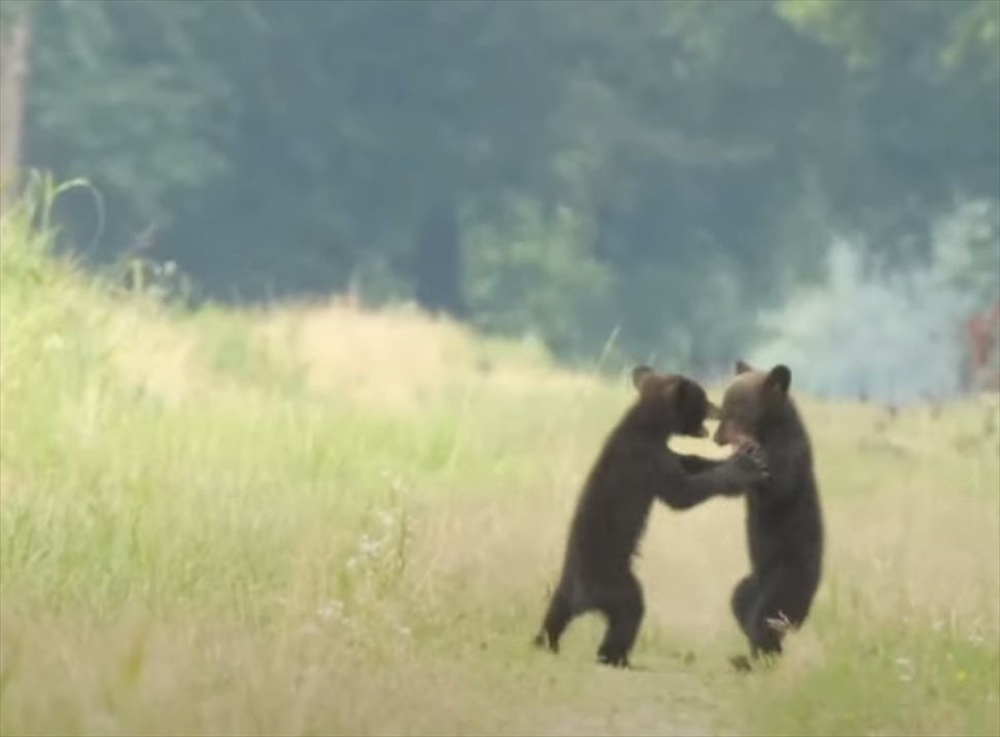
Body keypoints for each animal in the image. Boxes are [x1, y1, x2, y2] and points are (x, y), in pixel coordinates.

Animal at [536, 366, 768, 668]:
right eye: (703, 398)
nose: (718, 409)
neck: (648, 426)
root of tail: (581, 597)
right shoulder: (649, 459)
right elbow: (682, 493)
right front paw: (743, 468)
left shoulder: (665, 453)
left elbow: (689, 461)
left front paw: (742, 456)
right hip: (618, 585)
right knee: (629, 613)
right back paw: (617, 658)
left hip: (562, 596)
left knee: (553, 617)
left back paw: (544, 642)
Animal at [716, 360, 824, 668]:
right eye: (723, 405)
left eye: (734, 409)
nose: (717, 437)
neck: (768, 428)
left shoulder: (789, 452)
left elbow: (778, 488)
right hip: (752, 582)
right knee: (741, 604)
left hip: (784, 581)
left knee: (764, 622)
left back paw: (754, 662)